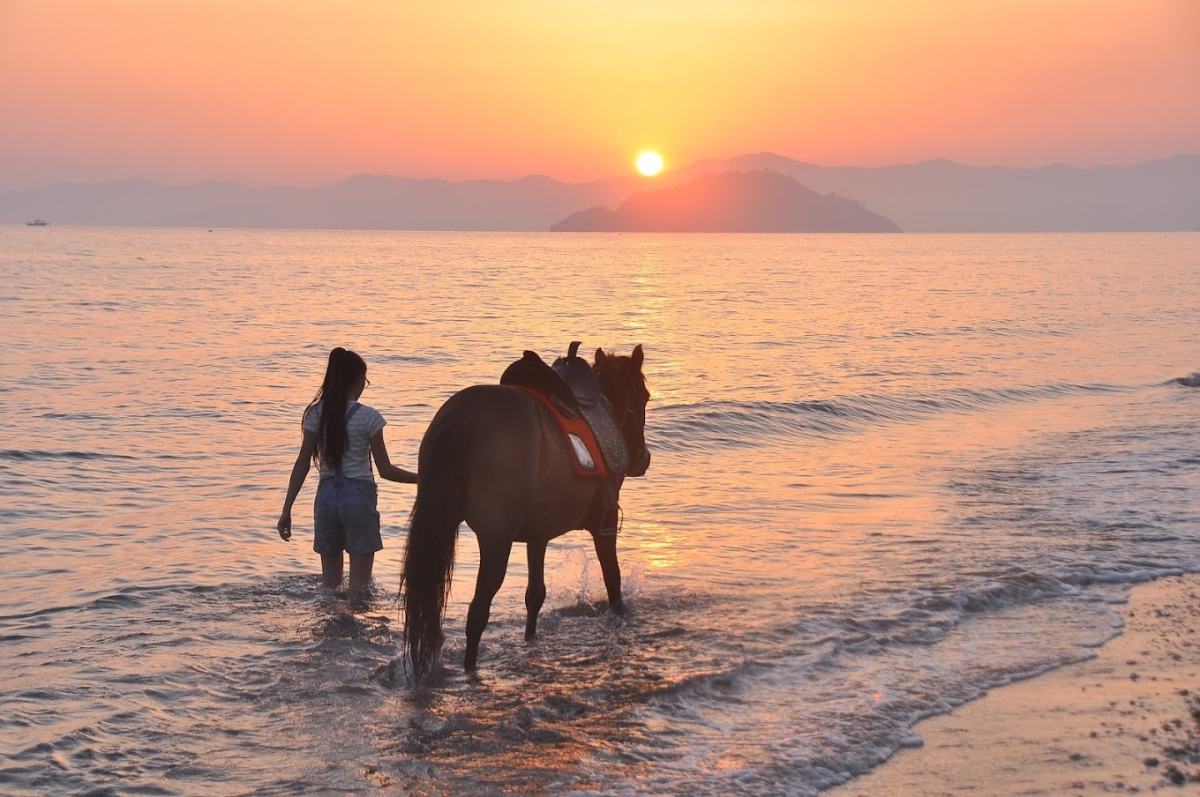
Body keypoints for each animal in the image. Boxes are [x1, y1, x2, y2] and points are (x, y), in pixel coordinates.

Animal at [400, 345, 651, 682]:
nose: (642, 458)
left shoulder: (538, 536)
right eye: (644, 396)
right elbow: (614, 582)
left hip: (440, 523)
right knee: (477, 612)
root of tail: (464, 416)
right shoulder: (605, 525)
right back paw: (470, 670)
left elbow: (535, 595)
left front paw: (530, 641)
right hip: (496, 542)